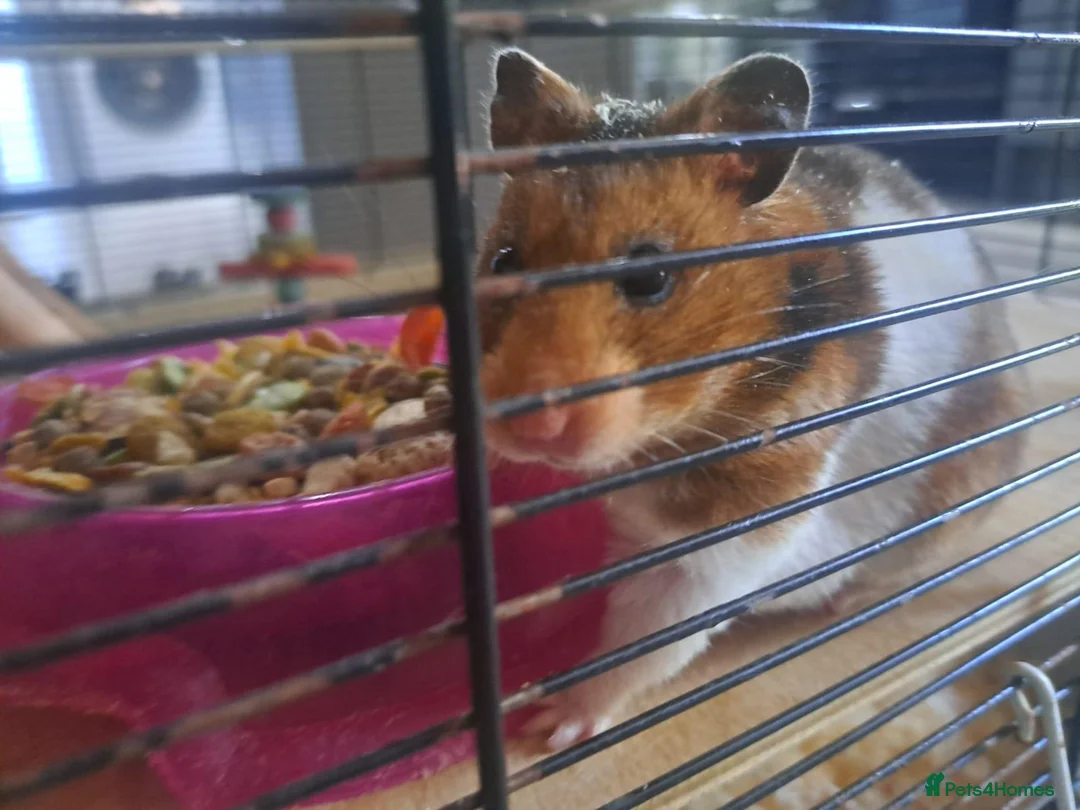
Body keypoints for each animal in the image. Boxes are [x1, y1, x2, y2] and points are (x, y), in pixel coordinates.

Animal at [476, 49, 1025, 751]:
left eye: (649, 276)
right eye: (503, 260)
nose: (529, 427)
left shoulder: (725, 545)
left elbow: (642, 643)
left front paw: (550, 724)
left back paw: (844, 604)